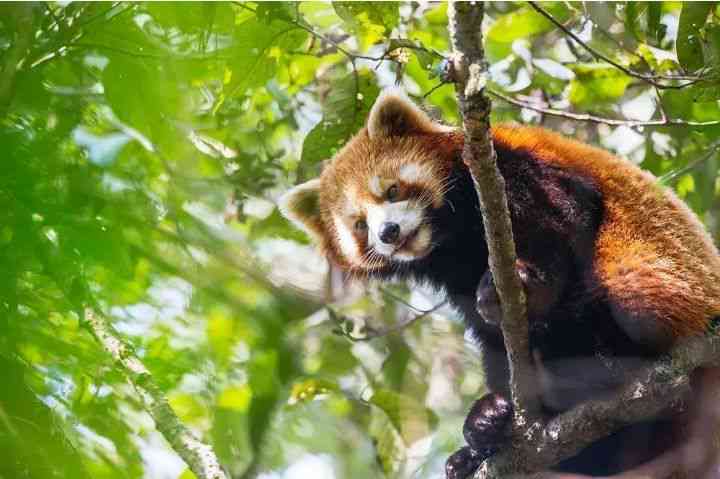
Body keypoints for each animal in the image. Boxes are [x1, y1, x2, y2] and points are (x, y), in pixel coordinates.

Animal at [278, 92, 720, 478]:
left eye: (392, 190)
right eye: (358, 225)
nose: (388, 232)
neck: (454, 237)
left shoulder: (517, 170)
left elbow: (563, 221)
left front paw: (529, 283)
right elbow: (485, 330)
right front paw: (489, 422)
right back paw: (486, 432)